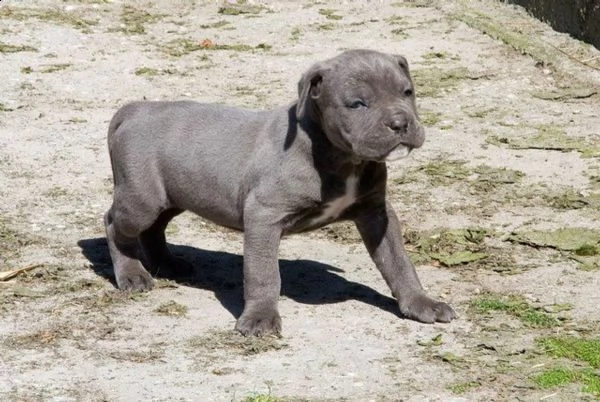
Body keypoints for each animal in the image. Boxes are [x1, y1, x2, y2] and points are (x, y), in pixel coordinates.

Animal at [105, 48, 458, 336]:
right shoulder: (263, 215)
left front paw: (420, 302)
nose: (400, 123)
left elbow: (398, 262)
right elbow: (263, 273)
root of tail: (134, 110)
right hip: (142, 200)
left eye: (407, 92)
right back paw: (132, 275)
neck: (341, 158)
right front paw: (260, 318)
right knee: (114, 223)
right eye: (358, 104)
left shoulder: (376, 213)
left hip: (174, 195)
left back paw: (168, 264)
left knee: (154, 228)